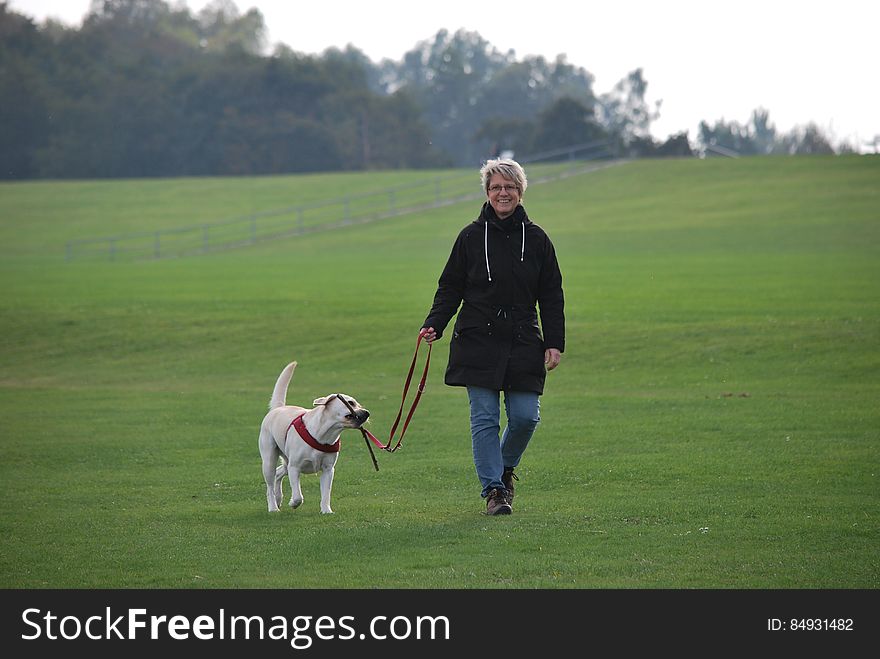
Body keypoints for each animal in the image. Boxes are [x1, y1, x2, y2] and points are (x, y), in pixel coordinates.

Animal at [262, 364, 372, 512]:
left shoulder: (328, 470)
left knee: (279, 473)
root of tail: (278, 408)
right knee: (270, 485)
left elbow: (326, 494)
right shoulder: (294, 467)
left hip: (286, 461)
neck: (324, 434)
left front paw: (326, 511)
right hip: (269, 460)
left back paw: (279, 498)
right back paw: (273, 507)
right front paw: (293, 503)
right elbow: (298, 496)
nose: (367, 413)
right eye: (351, 402)